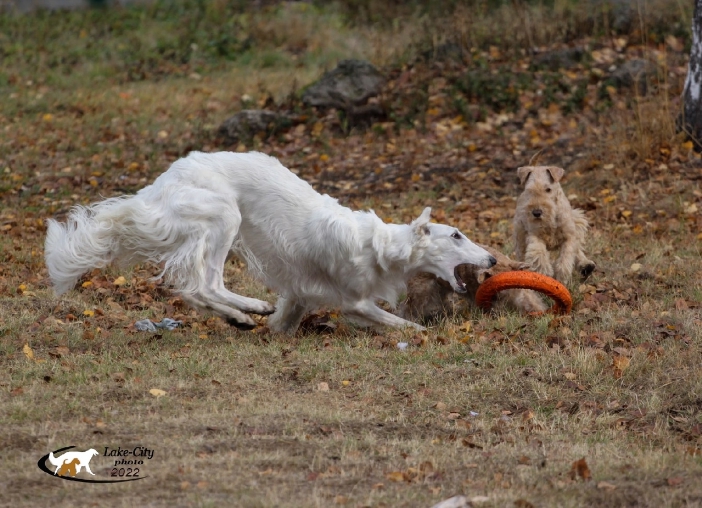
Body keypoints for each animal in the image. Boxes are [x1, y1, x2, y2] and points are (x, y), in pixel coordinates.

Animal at [45, 151, 496, 333]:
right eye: (456, 234)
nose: (492, 259)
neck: (381, 247)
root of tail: (165, 179)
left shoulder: (299, 293)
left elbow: (285, 320)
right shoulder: (354, 301)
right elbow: (400, 323)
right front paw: (426, 335)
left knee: (192, 290)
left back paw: (239, 316)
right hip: (226, 218)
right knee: (203, 284)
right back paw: (245, 310)